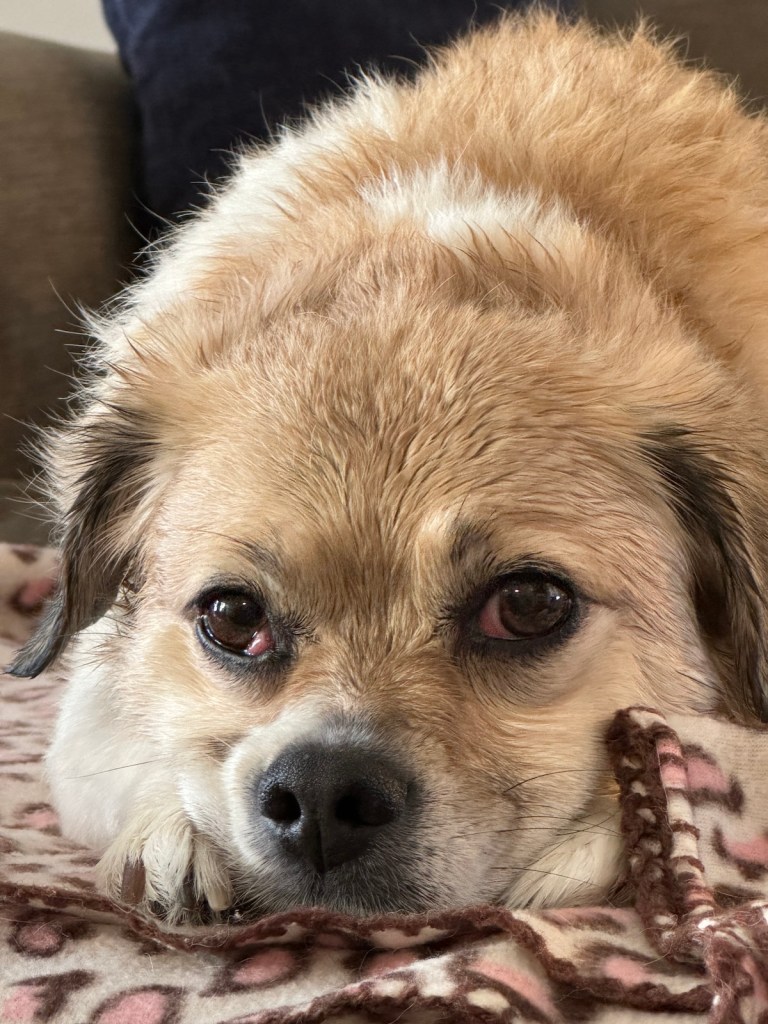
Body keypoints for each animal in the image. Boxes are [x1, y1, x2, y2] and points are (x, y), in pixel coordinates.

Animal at [11, 11, 768, 923]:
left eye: (529, 604)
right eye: (230, 615)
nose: (322, 792)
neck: (420, 268)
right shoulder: (87, 709)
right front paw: (172, 836)